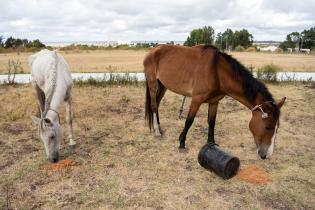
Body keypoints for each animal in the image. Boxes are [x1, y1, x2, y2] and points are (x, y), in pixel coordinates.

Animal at [145, 44, 286, 159]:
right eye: (268, 127)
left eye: (277, 128)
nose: (266, 155)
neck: (216, 71)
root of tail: (153, 50)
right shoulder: (196, 100)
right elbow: (189, 121)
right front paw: (182, 143)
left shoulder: (214, 102)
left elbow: (212, 122)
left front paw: (211, 143)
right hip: (153, 85)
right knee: (154, 105)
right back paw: (157, 131)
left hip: (163, 86)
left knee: (157, 104)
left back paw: (160, 128)